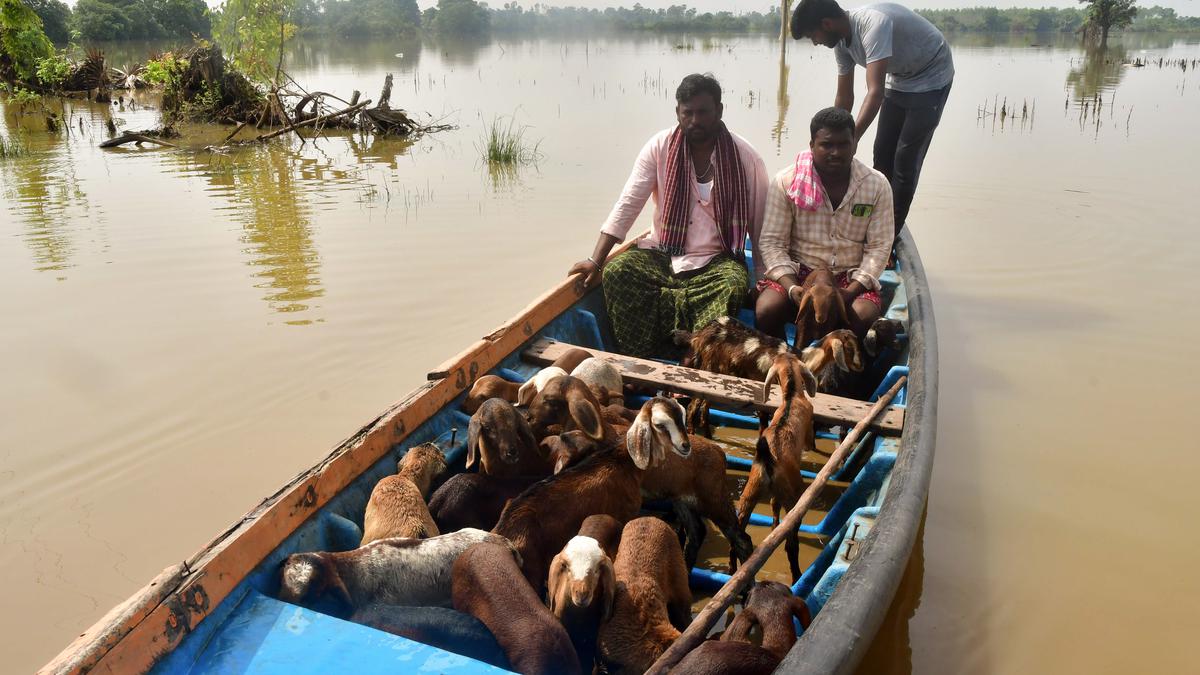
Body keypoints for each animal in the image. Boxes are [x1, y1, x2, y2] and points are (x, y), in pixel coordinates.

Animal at [492, 396, 691, 590]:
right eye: (659, 425)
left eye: (683, 418)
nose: (685, 446)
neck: (623, 462)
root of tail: (503, 531)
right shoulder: (624, 516)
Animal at [729, 353, 816, 578]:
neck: (791, 396)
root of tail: (767, 459)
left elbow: (773, 507)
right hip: (793, 498)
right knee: (791, 545)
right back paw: (797, 575)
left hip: (749, 495)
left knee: (738, 535)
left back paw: (732, 568)